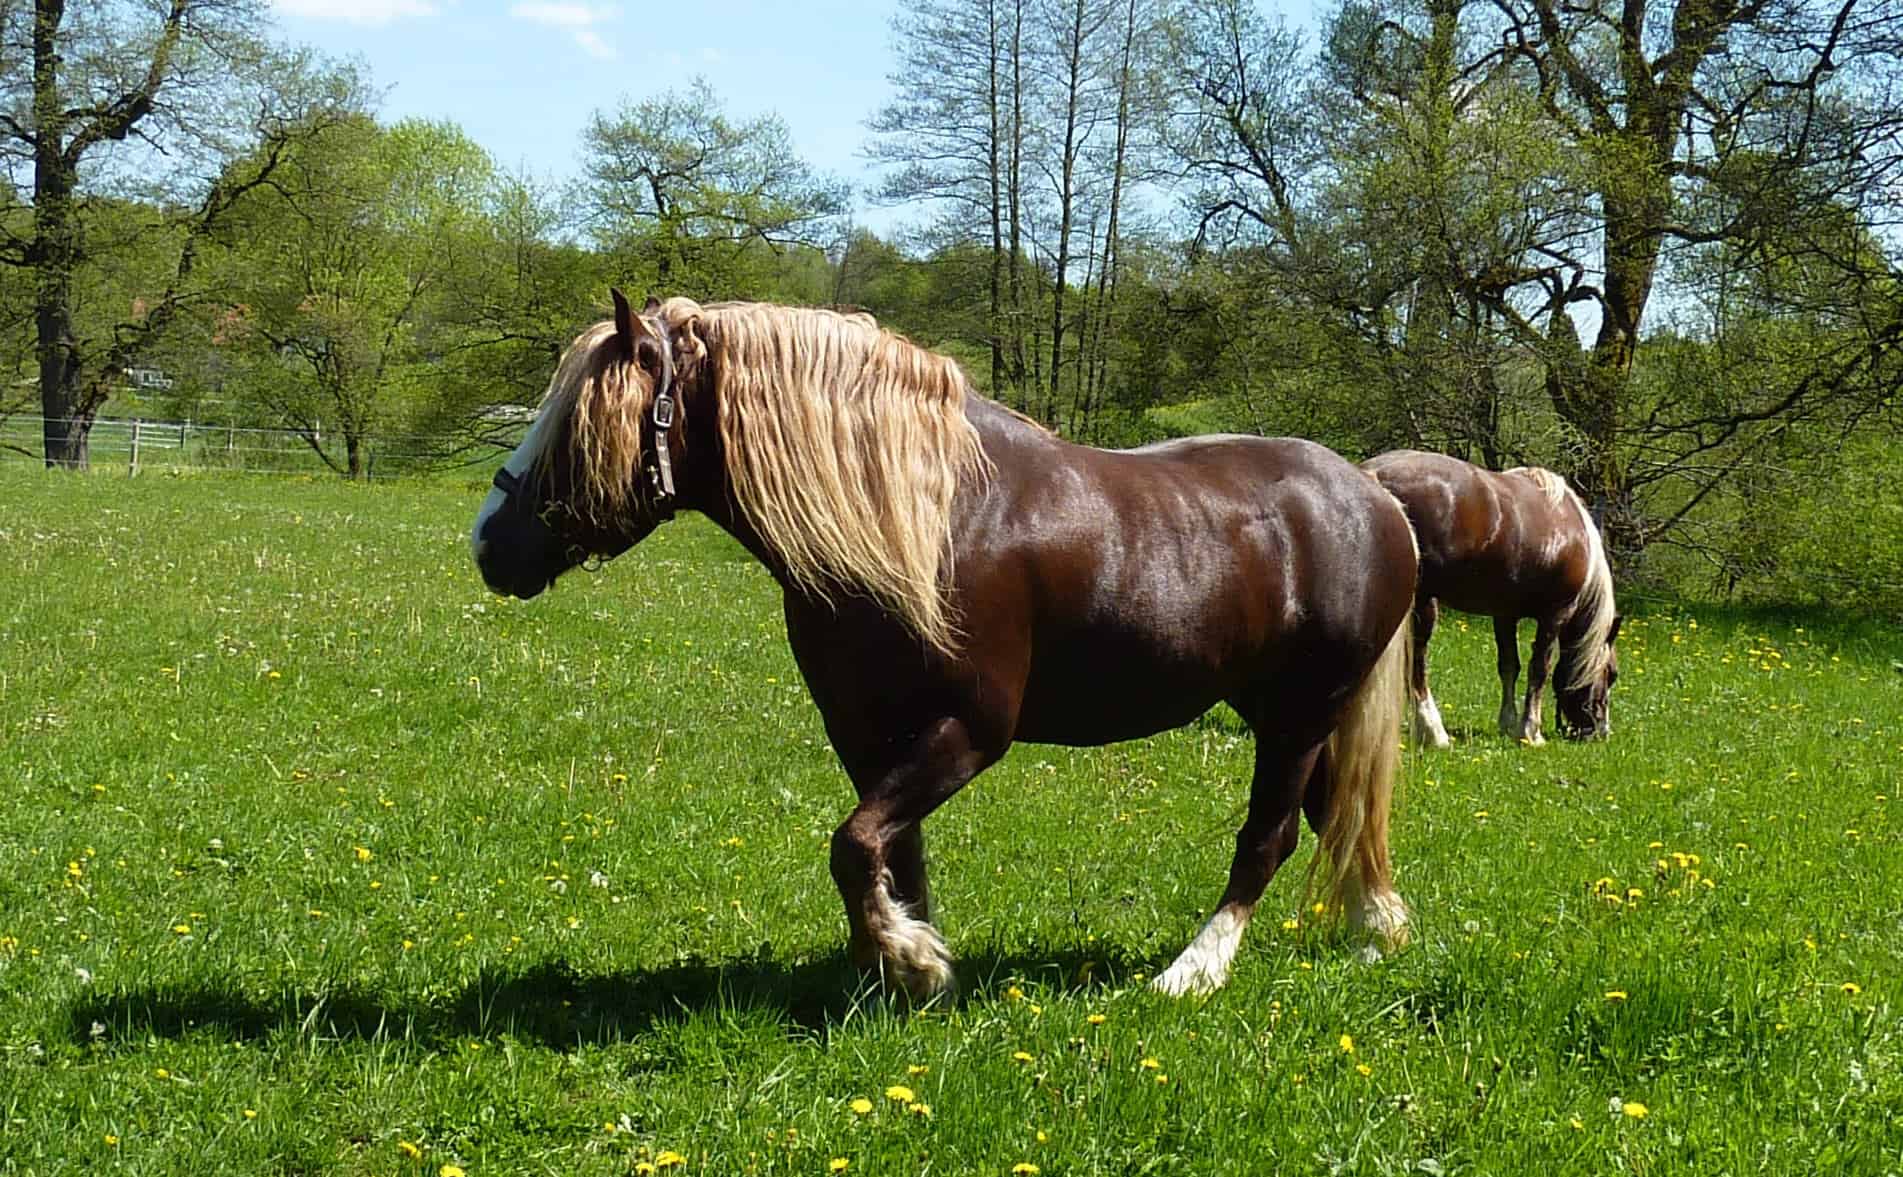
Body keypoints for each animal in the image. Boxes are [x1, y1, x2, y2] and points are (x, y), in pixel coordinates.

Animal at [471, 291, 1419, 1000]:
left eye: (577, 424)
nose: (487, 542)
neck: (930, 523)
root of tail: (1371, 495)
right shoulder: (865, 735)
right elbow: (891, 852)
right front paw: (906, 964)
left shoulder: (969, 731)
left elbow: (854, 845)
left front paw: (911, 958)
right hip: (1282, 711)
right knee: (1337, 815)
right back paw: (1378, 930)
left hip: (1298, 714)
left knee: (1270, 837)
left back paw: (1192, 971)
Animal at [1362, 449, 1620, 746]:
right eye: (1612, 674)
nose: (1600, 732)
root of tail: (1373, 475)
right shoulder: (1555, 614)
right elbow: (1539, 669)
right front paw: (1531, 732)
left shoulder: (1504, 614)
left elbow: (1509, 666)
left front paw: (1508, 723)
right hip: (1422, 605)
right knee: (1416, 664)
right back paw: (1434, 732)